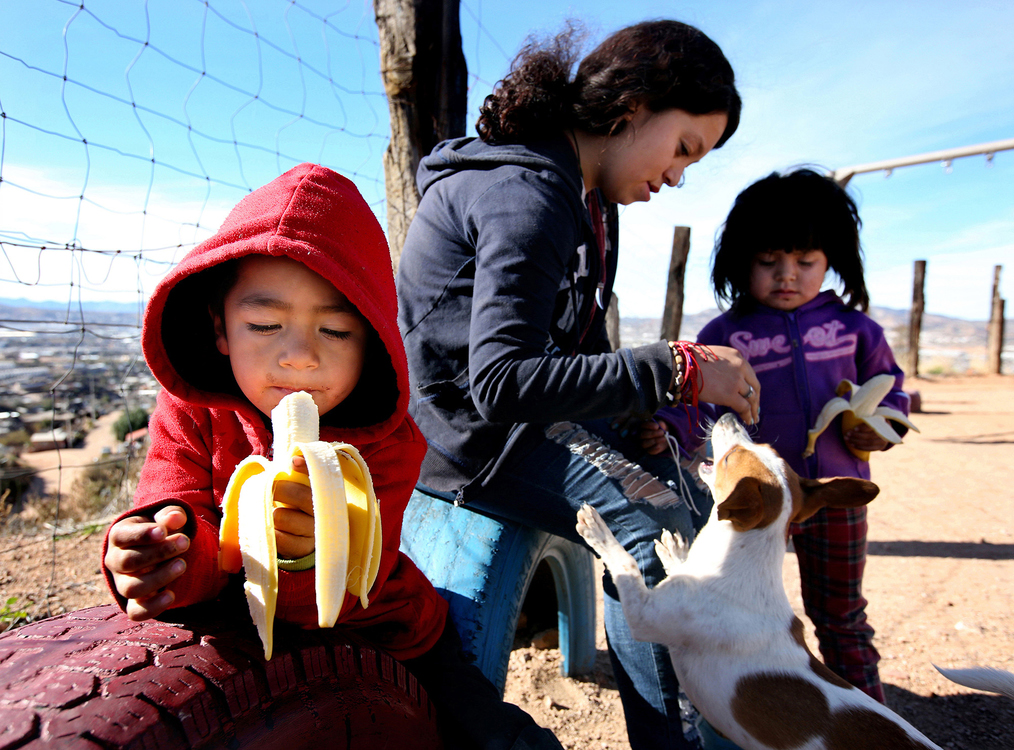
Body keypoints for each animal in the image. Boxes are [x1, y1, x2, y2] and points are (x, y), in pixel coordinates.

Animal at [575, 413, 936, 745]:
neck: (738, 563)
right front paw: (676, 550)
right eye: (765, 448)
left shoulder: (643, 615)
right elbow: (680, 562)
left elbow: (624, 562)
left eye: (732, 456)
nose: (729, 415)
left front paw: (598, 530)